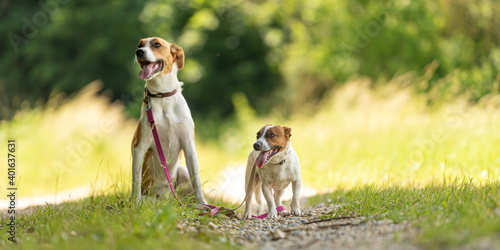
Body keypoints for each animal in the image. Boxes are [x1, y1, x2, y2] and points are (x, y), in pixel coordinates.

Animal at [131, 37, 207, 205]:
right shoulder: (139, 147)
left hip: (182, 171)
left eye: (156, 44)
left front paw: (203, 204)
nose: (139, 52)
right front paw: (135, 202)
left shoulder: (189, 146)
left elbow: (197, 182)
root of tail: (165, 197)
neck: (162, 95)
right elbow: (135, 181)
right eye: (140, 44)